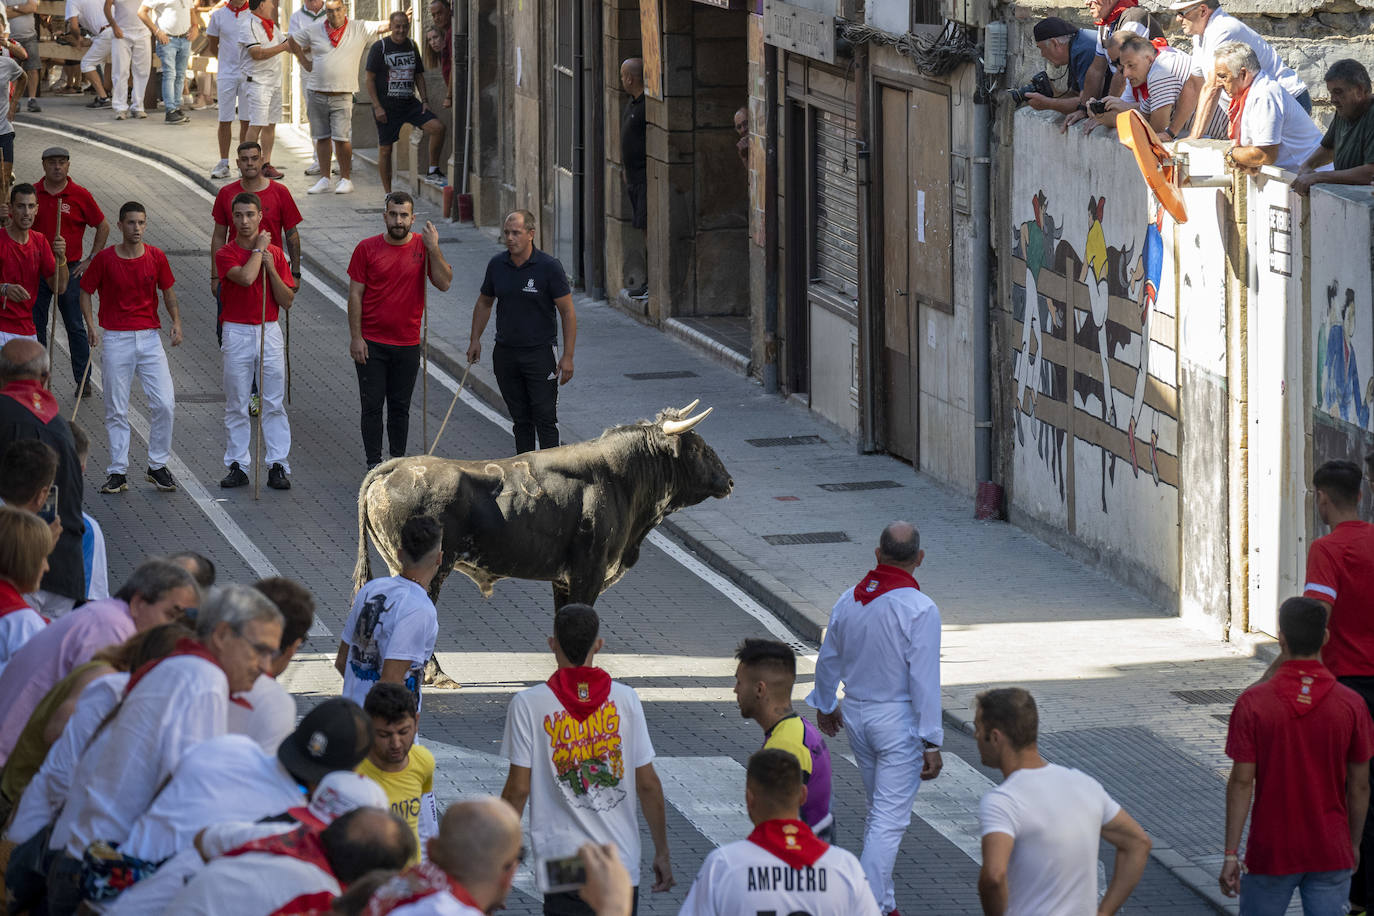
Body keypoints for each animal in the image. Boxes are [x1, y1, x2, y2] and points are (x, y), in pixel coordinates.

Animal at [359, 411, 736, 620]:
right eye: (697, 448)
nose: (730, 480)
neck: (619, 478)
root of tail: (394, 467)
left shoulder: (563, 580)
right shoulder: (588, 574)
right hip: (428, 568)